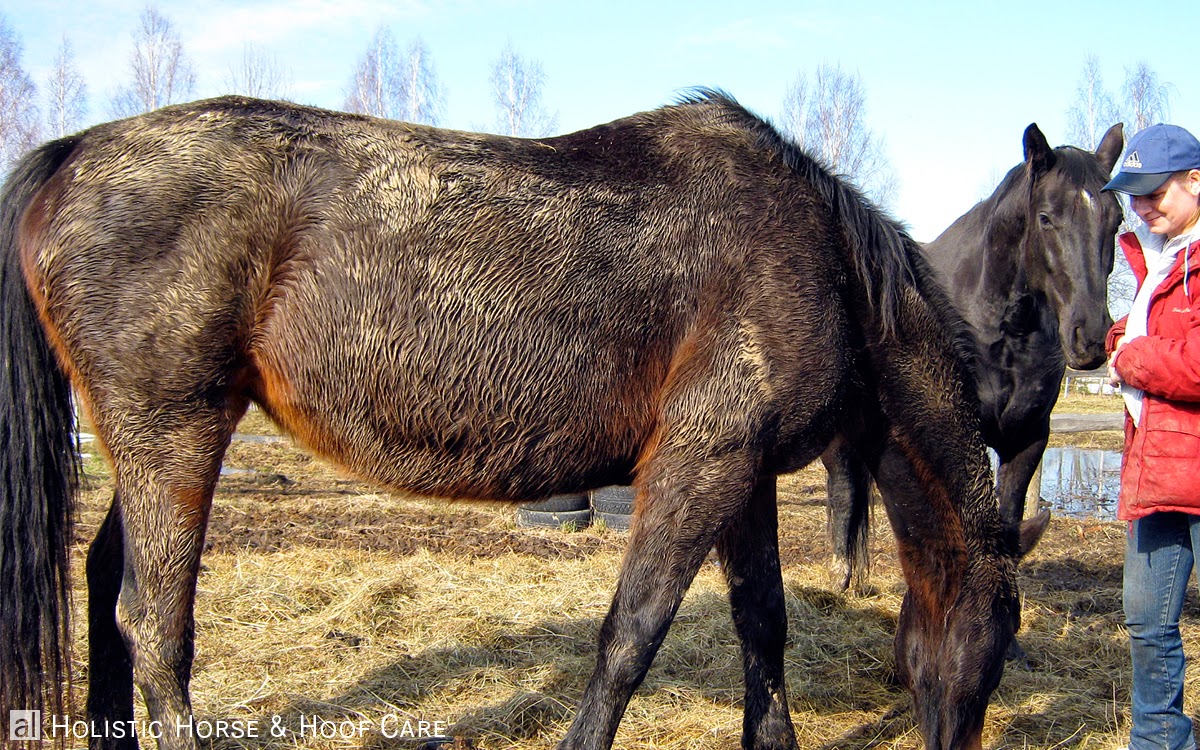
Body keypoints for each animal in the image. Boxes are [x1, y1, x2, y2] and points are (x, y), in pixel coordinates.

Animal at [0, 91, 1036, 750]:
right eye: (994, 651)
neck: (825, 266)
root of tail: (73, 152)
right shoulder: (700, 464)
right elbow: (631, 636)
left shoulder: (740, 478)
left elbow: (763, 624)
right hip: (173, 432)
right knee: (155, 623)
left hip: (151, 443)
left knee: (107, 585)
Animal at [823, 122, 1124, 590]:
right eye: (1045, 217)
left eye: (1117, 219)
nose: (1091, 338)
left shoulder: (1028, 437)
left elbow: (1009, 517)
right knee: (843, 488)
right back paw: (841, 575)